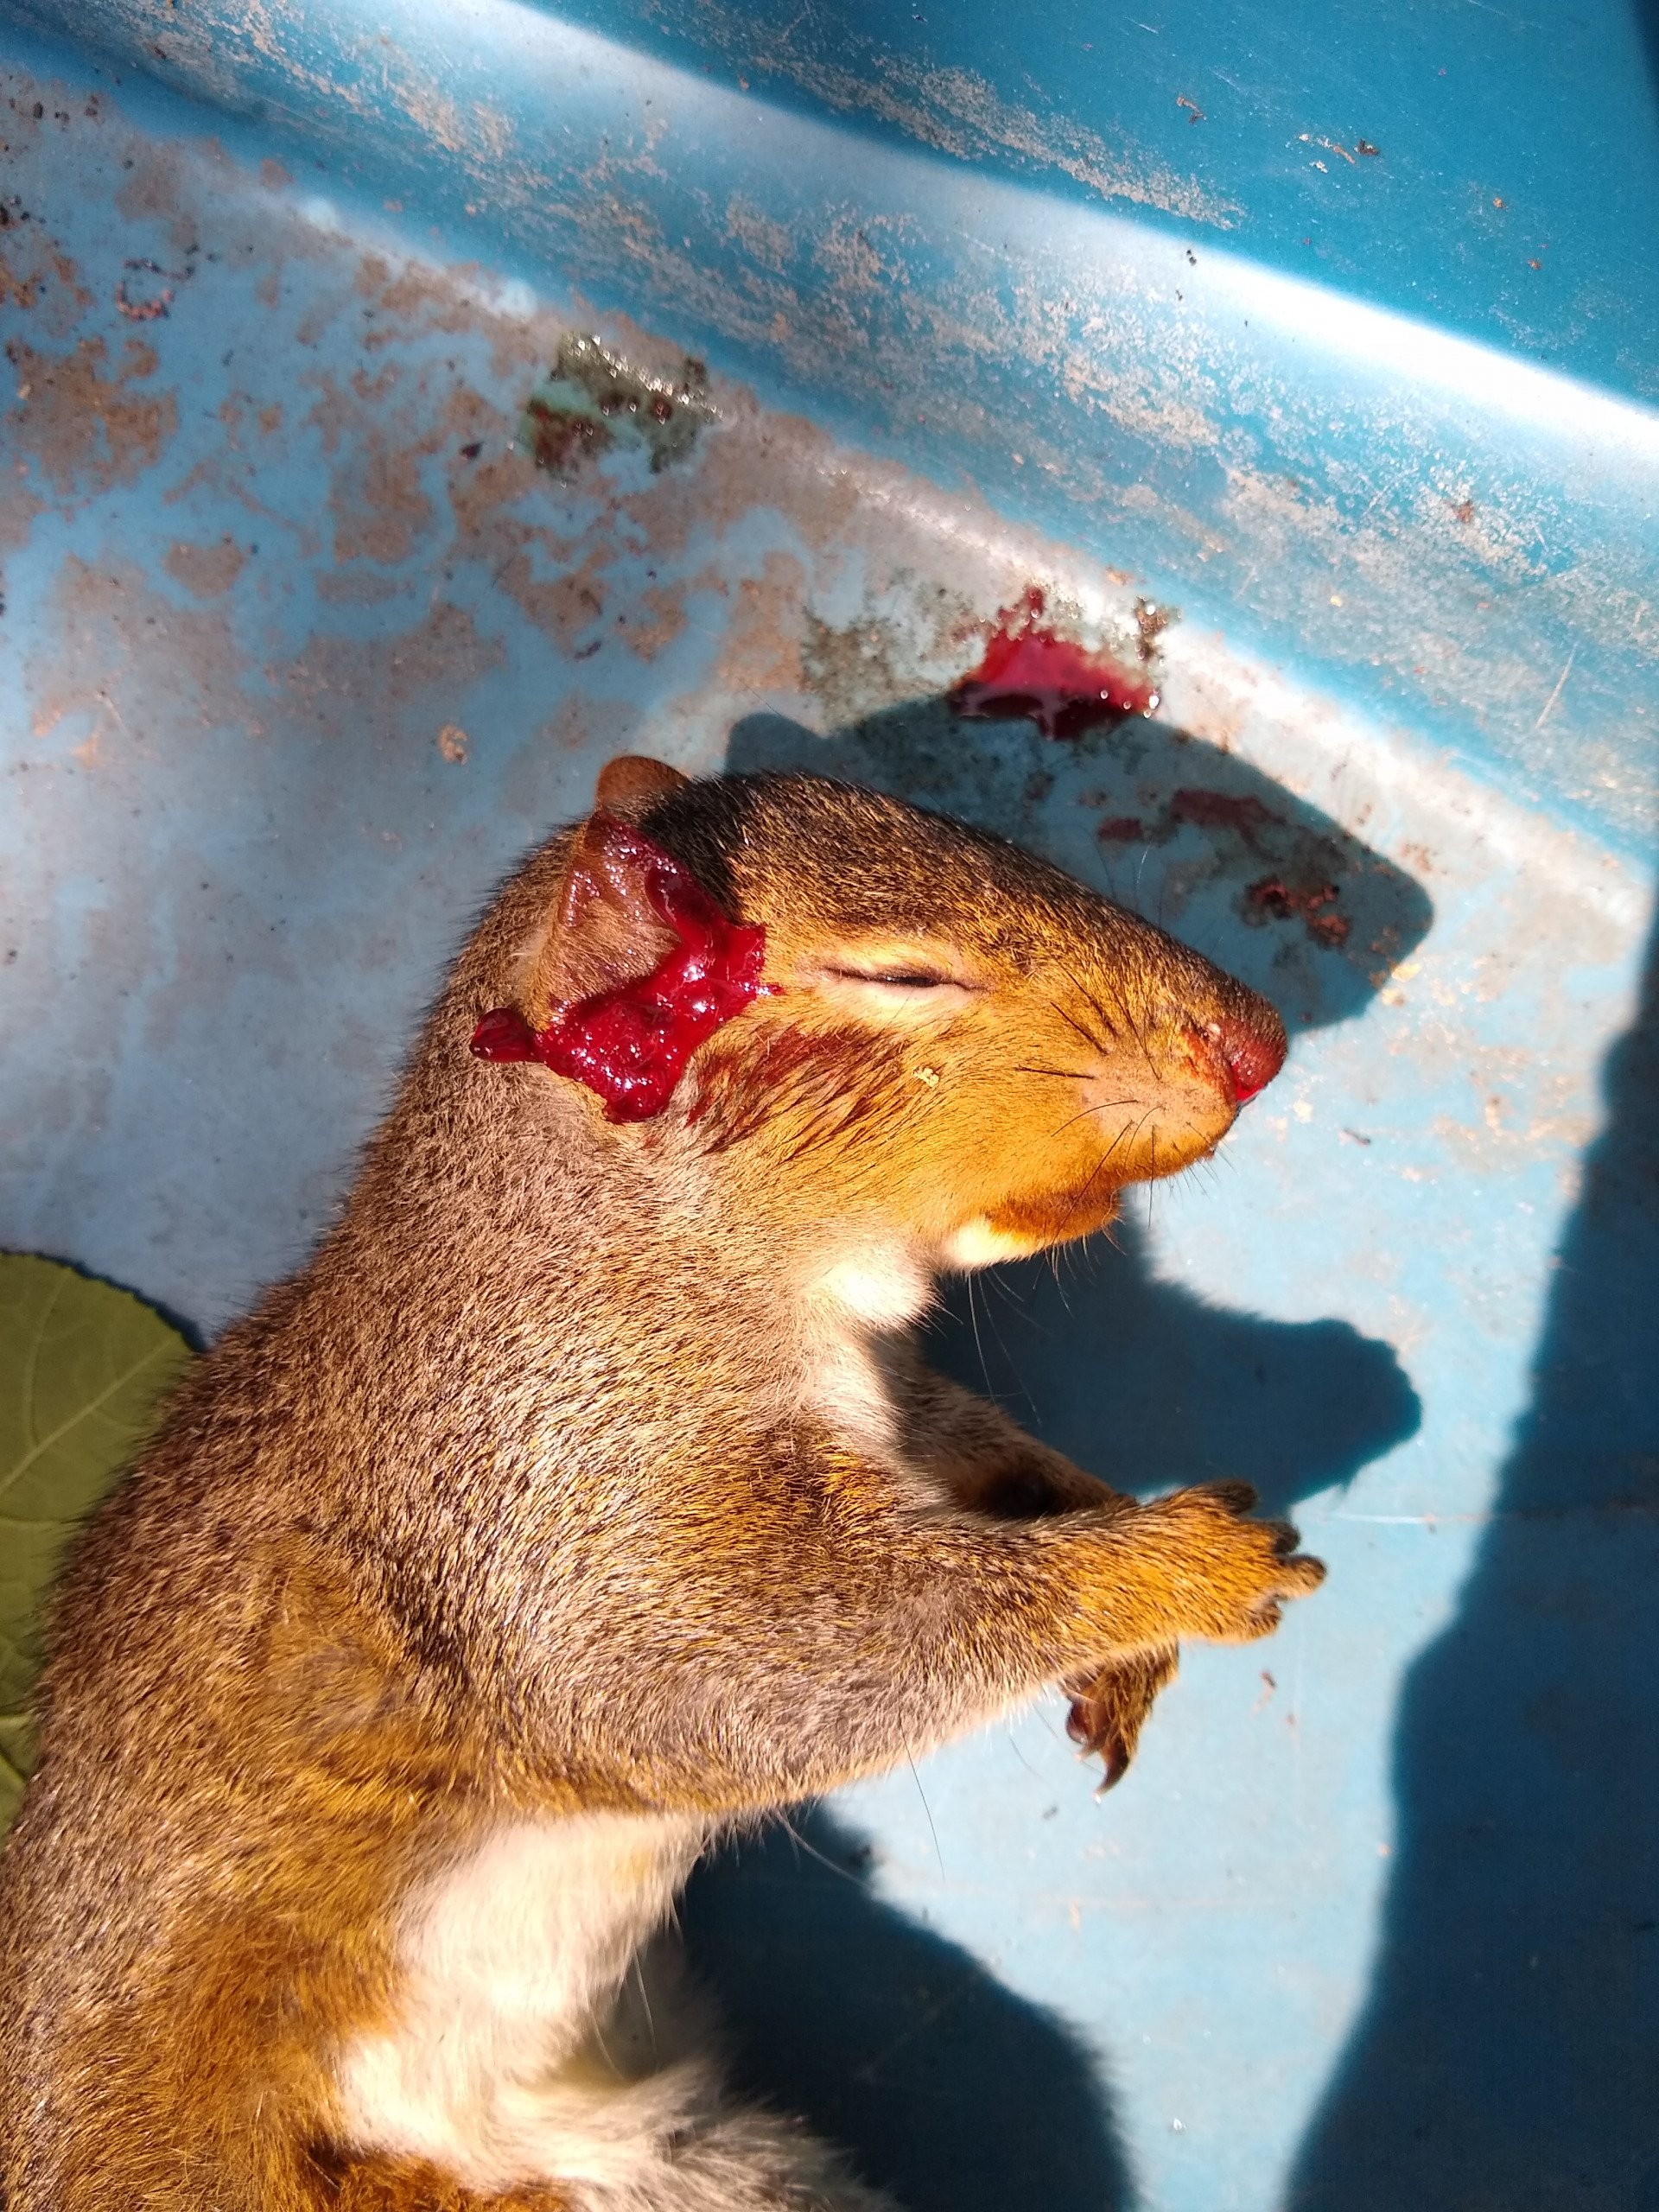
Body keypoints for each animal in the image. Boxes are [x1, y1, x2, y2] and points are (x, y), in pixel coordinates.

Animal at [0, 758, 1322, 2212]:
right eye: (903, 975)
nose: (1257, 1042)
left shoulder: (892, 1406)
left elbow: (977, 1456)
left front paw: (1117, 1586)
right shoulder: (546, 1481)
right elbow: (729, 1672)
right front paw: (1174, 1568)